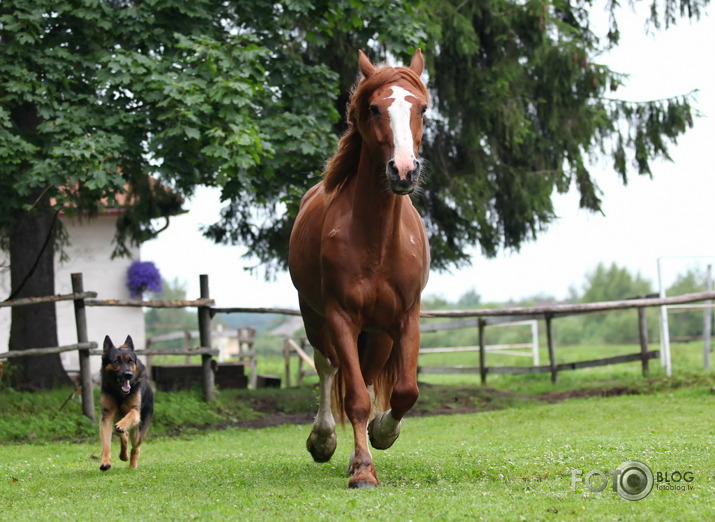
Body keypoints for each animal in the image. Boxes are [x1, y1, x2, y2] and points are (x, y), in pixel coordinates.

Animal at [99, 336, 154, 470]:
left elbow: (131, 414)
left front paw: (122, 424)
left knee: (135, 447)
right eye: (115, 361)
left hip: (138, 432)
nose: (128, 375)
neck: (119, 393)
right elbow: (106, 444)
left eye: (130, 361)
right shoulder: (107, 417)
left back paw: (132, 465)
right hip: (114, 420)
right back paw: (123, 455)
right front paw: (105, 461)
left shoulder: (135, 411)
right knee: (123, 435)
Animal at [286, 49, 430, 488]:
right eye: (373, 108)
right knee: (328, 367)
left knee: (365, 376)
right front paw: (363, 470)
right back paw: (324, 440)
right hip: (316, 318)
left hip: (378, 334)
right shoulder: (340, 317)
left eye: (422, 108)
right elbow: (355, 398)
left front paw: (383, 433)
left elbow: (404, 391)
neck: (377, 239)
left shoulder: (404, 317)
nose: (404, 170)